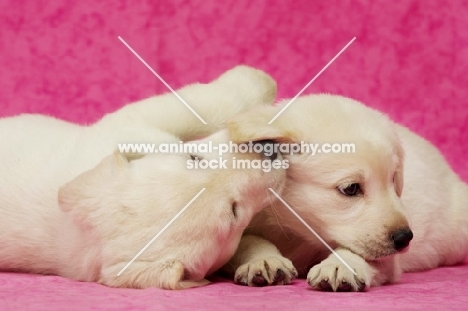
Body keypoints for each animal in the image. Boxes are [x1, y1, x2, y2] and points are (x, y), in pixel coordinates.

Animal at [222, 94, 468, 292]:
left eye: (393, 180)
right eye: (351, 188)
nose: (404, 238)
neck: (296, 231)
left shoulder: (387, 259)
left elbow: (361, 252)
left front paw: (340, 265)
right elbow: (248, 240)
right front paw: (264, 260)